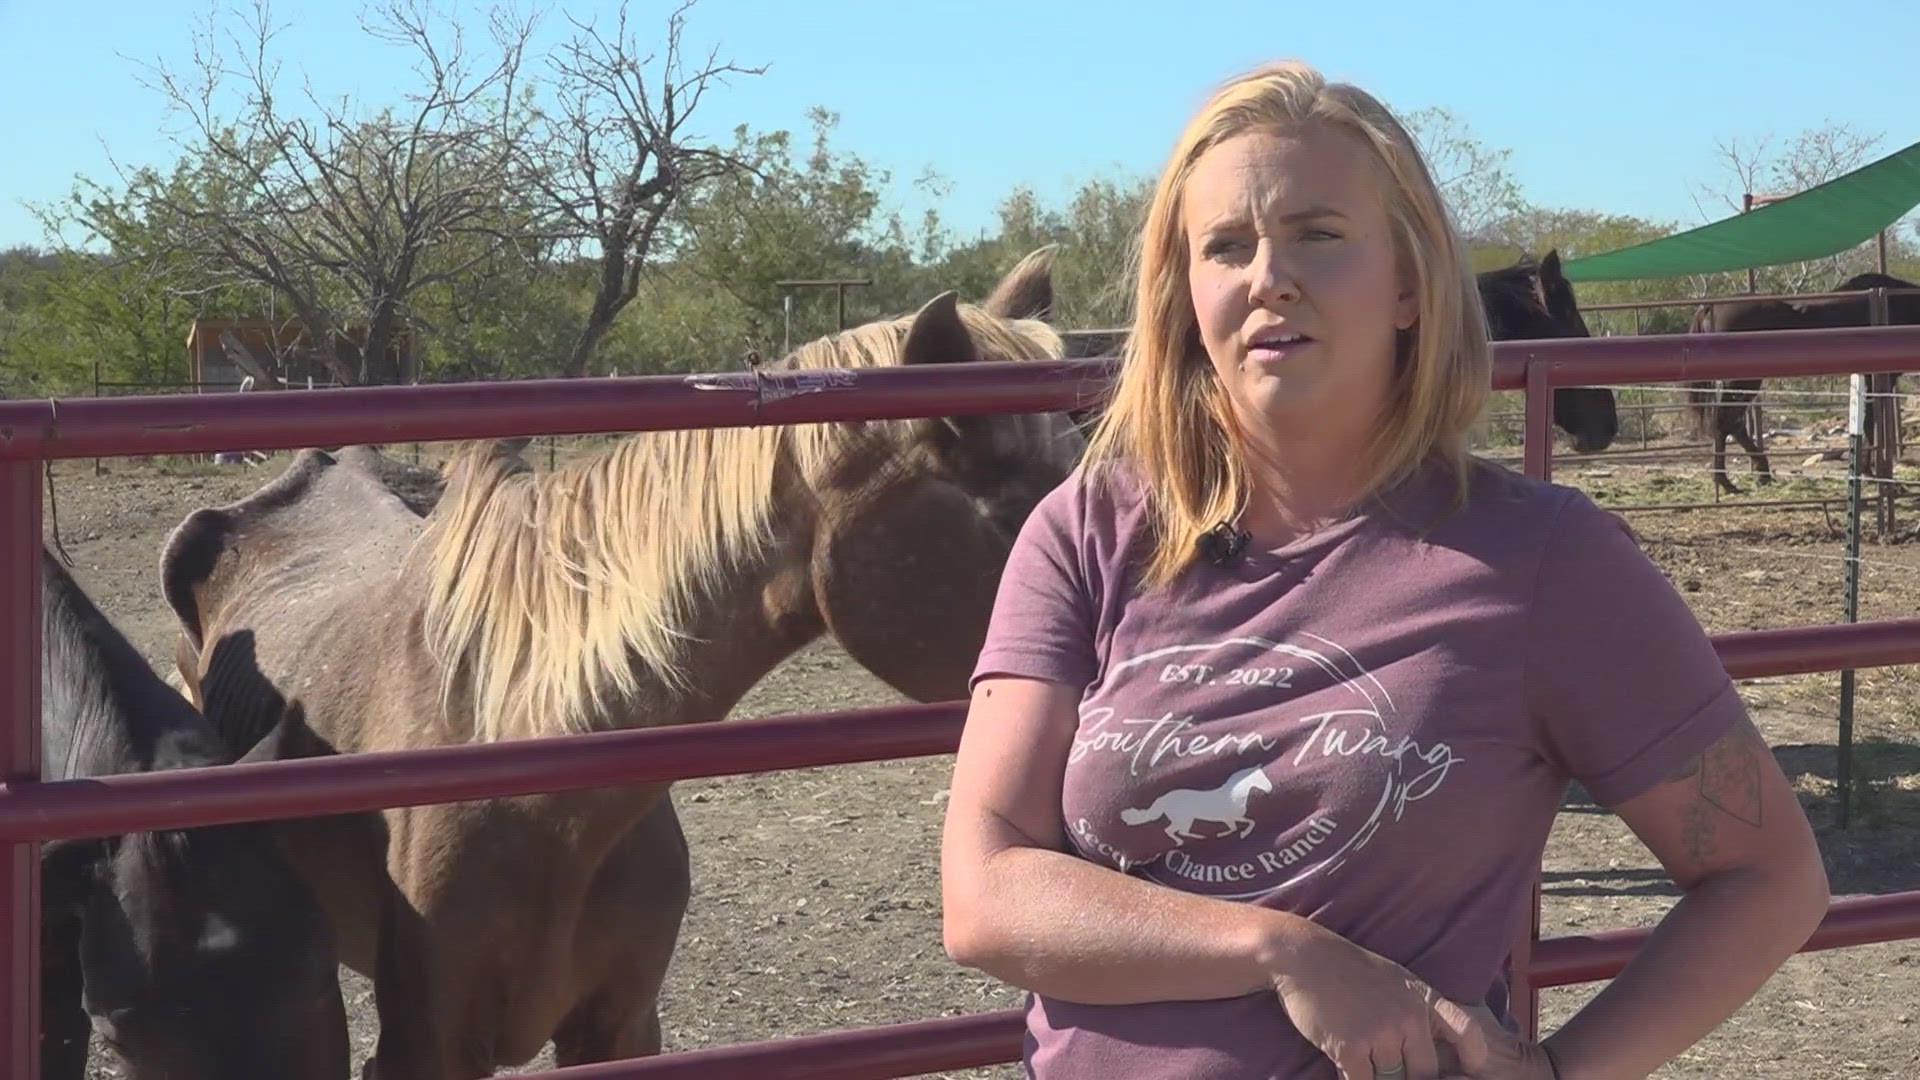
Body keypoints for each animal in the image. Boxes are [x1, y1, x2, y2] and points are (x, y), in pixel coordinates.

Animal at [1689, 270, 1912, 495]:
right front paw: (1873, 475)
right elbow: (1870, 421)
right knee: (1726, 421)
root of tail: (1709, 308)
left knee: (1731, 423)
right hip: (1743, 381)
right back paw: (1731, 481)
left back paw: (1751, 477)